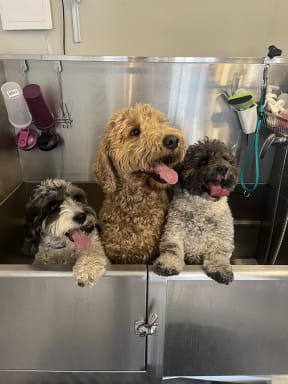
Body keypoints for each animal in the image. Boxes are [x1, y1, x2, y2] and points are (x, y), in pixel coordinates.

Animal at [154, 136, 237, 284]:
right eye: (203, 162)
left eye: (226, 159)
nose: (223, 168)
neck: (203, 208)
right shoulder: (173, 233)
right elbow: (171, 249)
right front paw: (168, 263)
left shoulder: (222, 239)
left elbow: (219, 254)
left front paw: (221, 269)